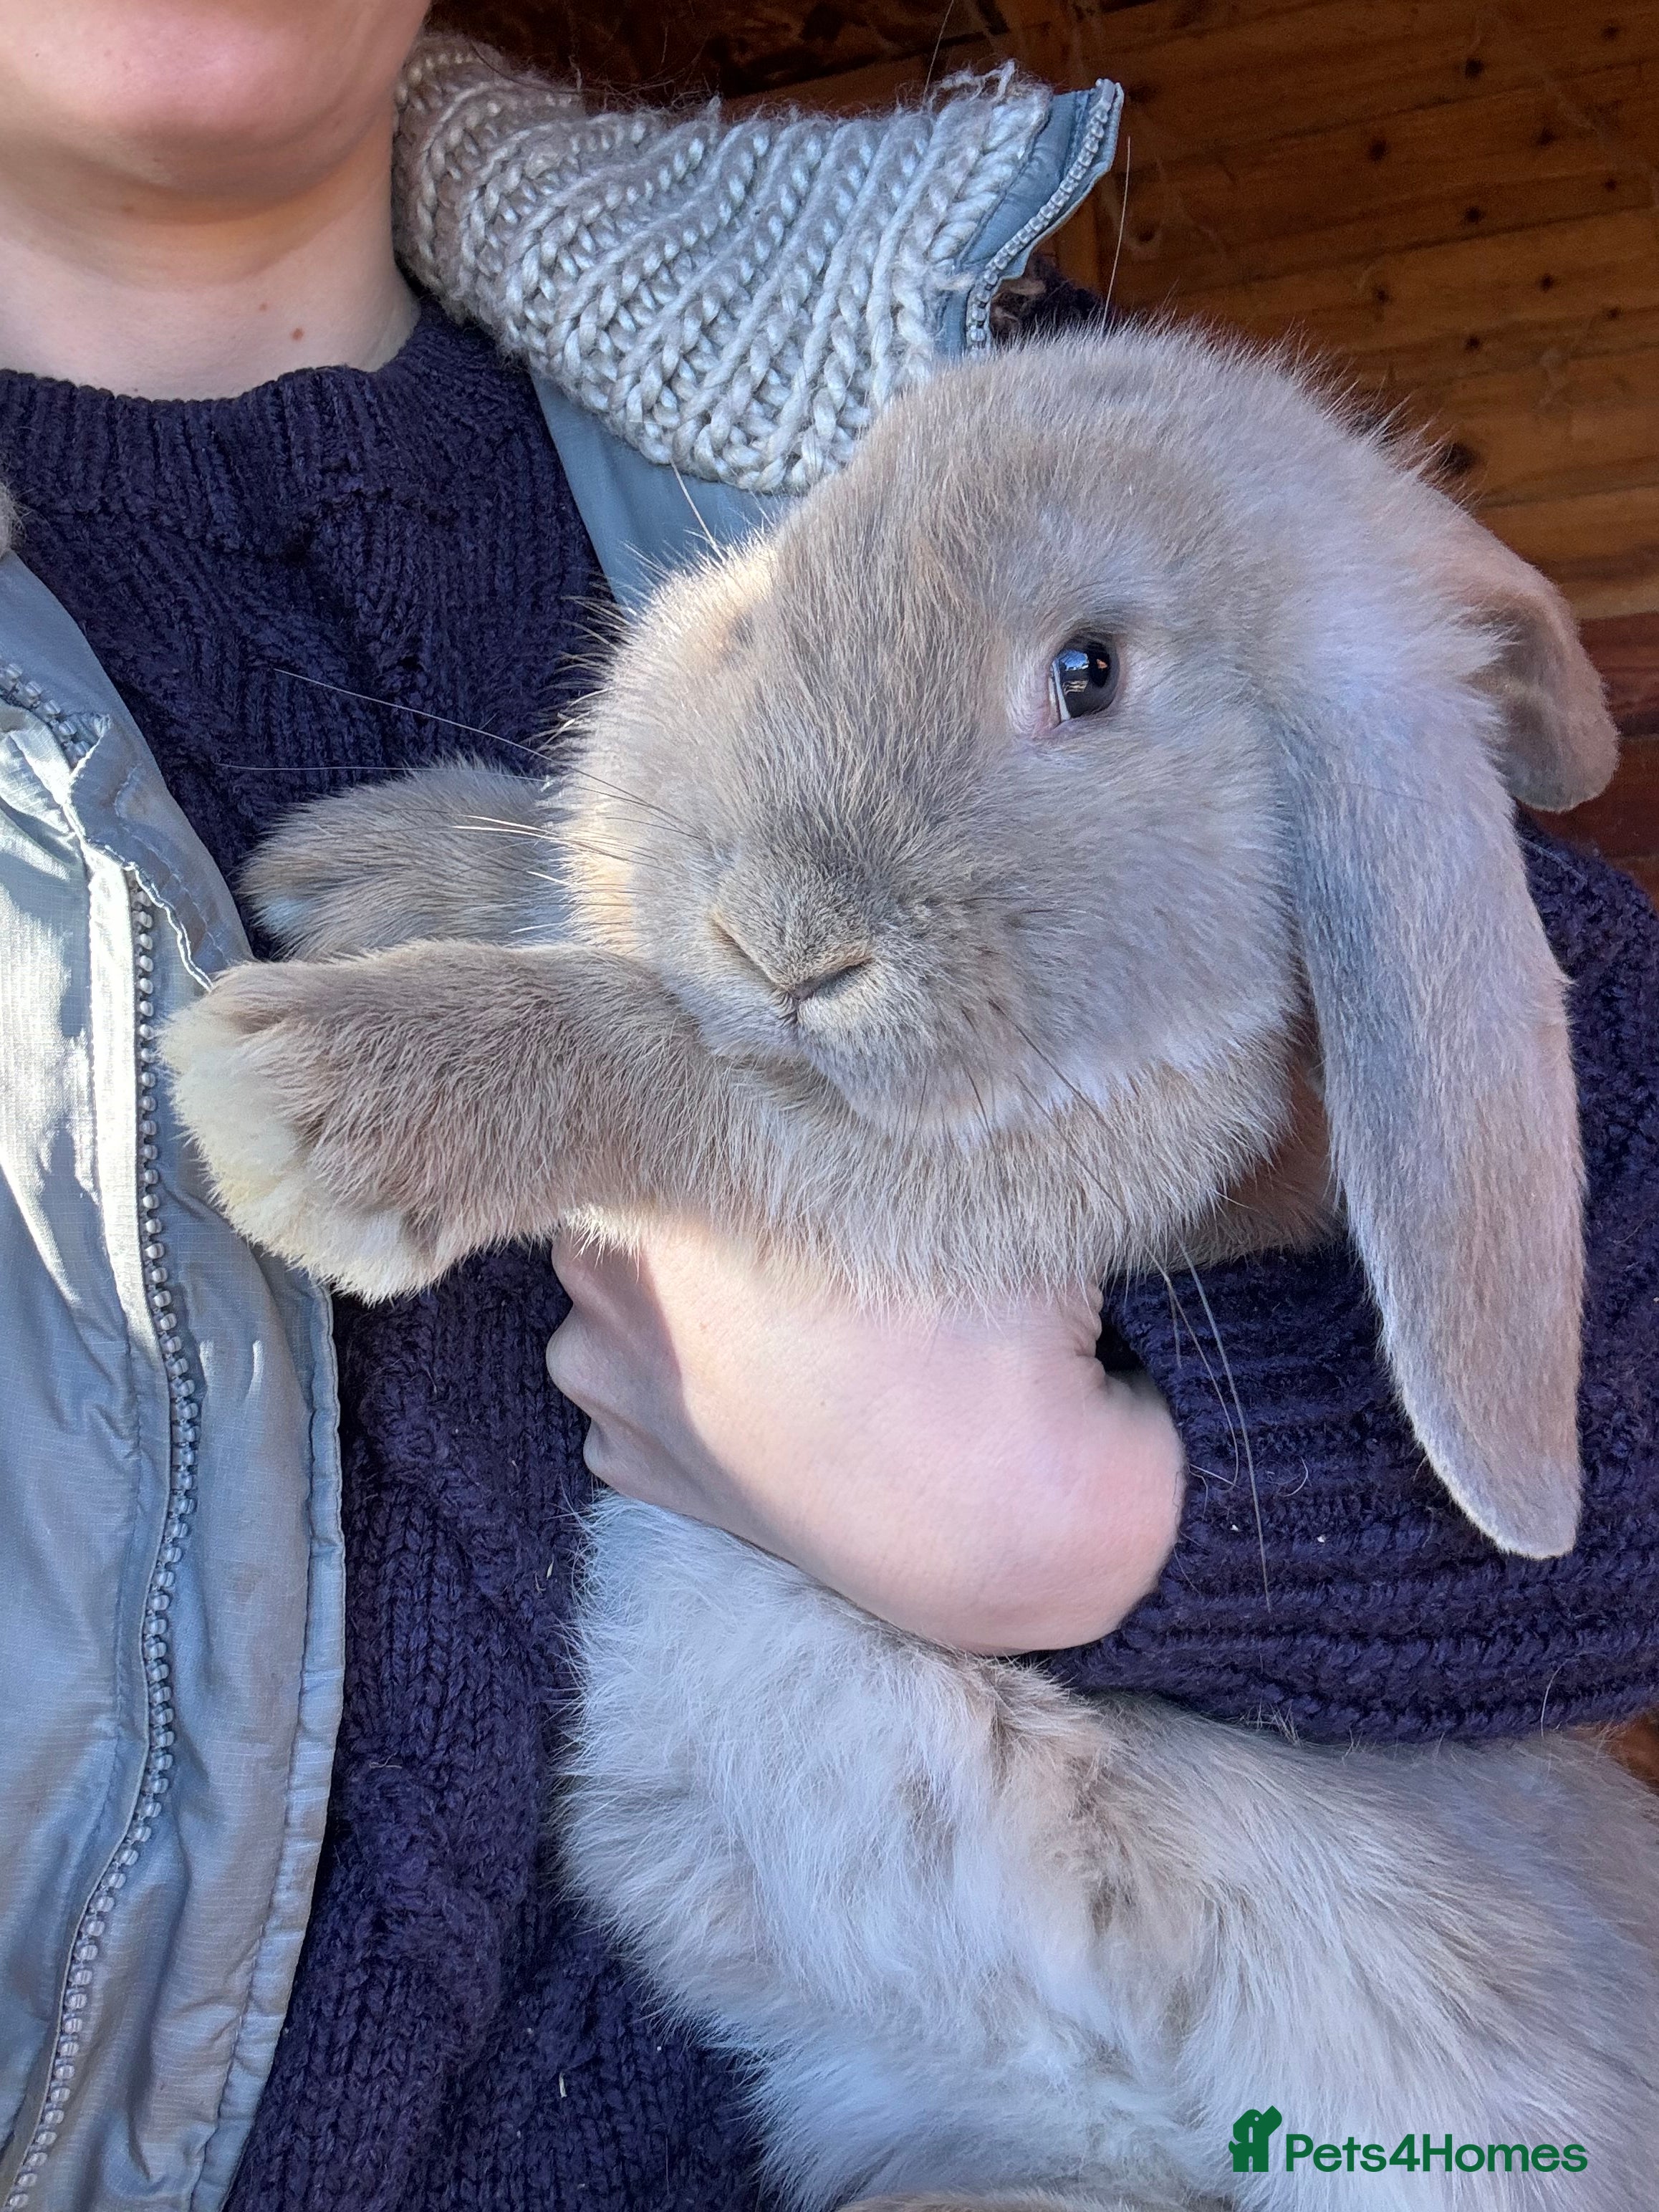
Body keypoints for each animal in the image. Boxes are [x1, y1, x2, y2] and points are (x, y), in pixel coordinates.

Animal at [165, 324, 1659, 2211]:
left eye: (1087, 675)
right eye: (781, 569)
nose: (777, 931)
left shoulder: (928, 1194)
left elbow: (661, 1065)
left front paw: (306, 1095)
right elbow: (586, 899)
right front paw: (354, 862)